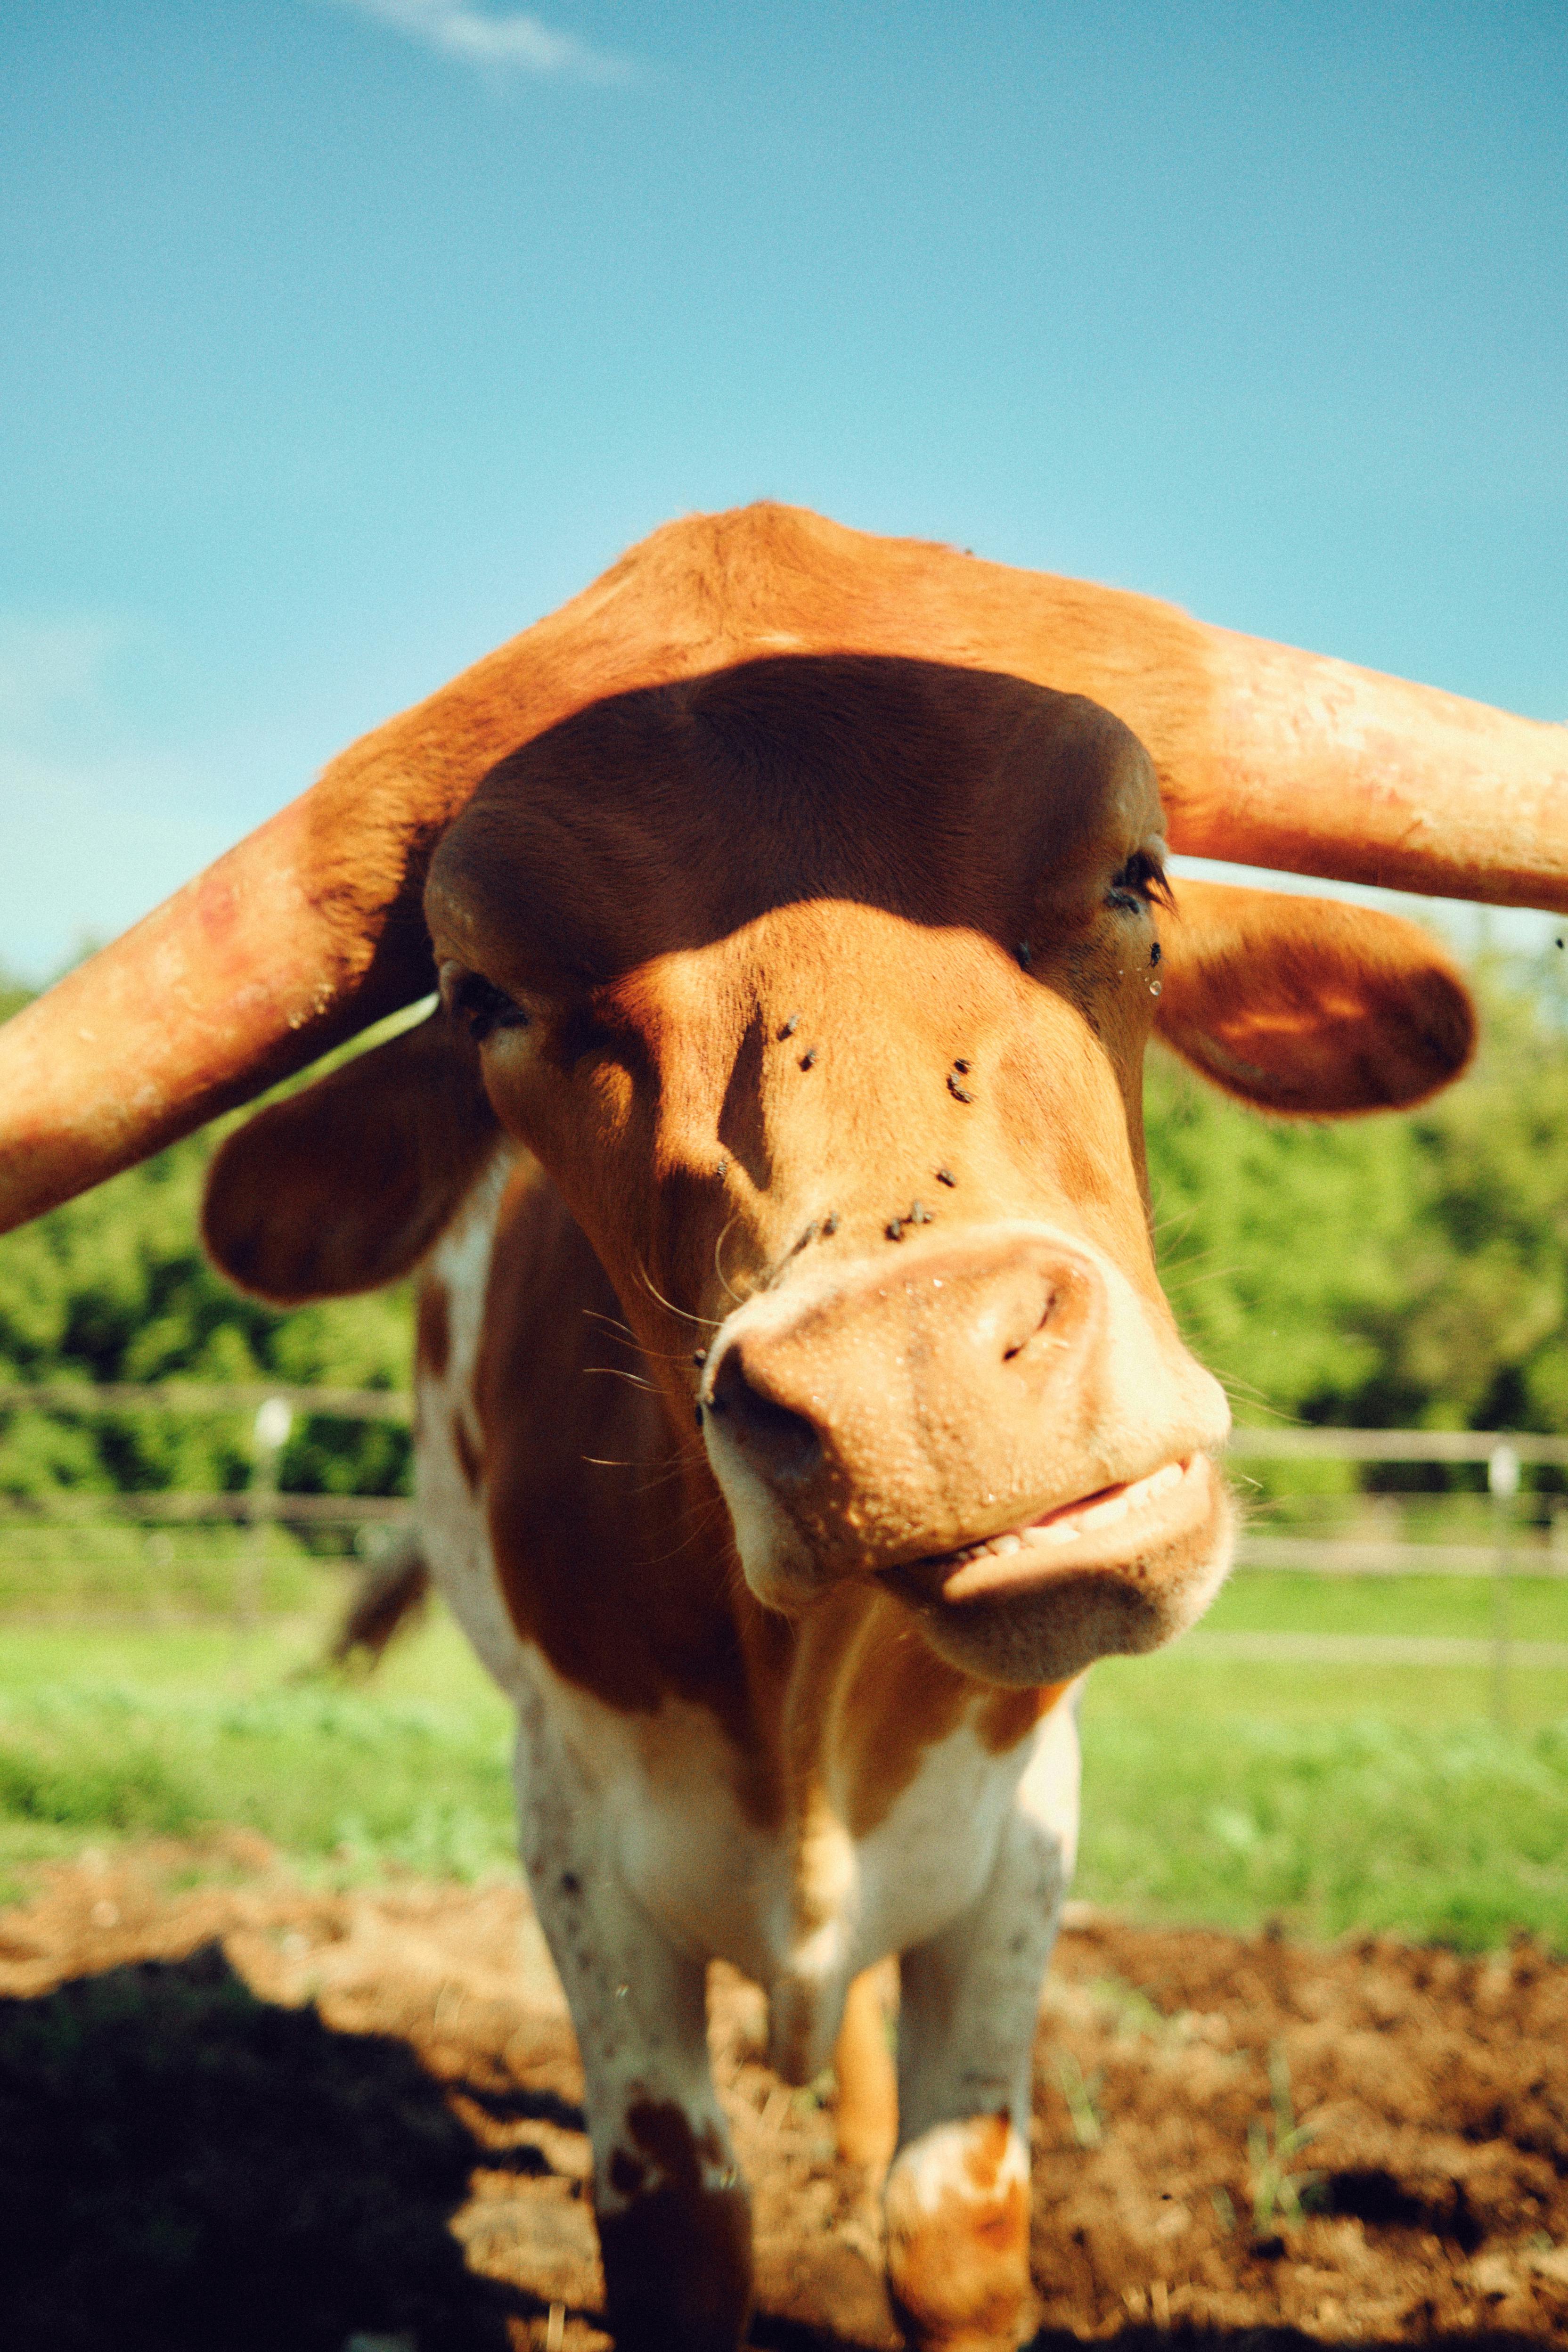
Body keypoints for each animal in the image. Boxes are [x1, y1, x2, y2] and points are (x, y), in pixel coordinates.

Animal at [1, 504, 1563, 2351]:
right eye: (483, 997)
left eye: (1135, 874)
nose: (921, 1383)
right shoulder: (575, 1830)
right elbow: (676, 2219)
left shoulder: (1021, 1825)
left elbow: (951, 2215)